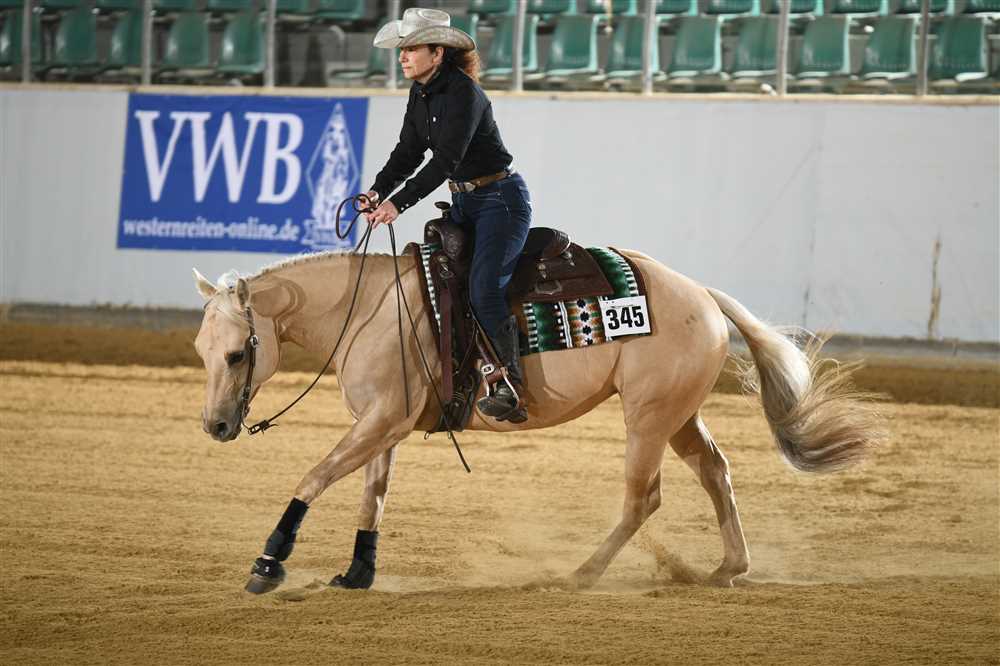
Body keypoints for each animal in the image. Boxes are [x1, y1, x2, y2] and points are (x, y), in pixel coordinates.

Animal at [193, 247, 880, 594]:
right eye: (201, 351)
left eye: (236, 354)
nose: (216, 427)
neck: (371, 307)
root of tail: (704, 295)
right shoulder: (382, 424)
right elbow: (373, 496)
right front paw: (359, 572)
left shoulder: (380, 421)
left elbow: (313, 477)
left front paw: (269, 563)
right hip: (679, 415)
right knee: (716, 471)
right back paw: (728, 568)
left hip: (648, 418)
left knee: (644, 497)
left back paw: (582, 574)